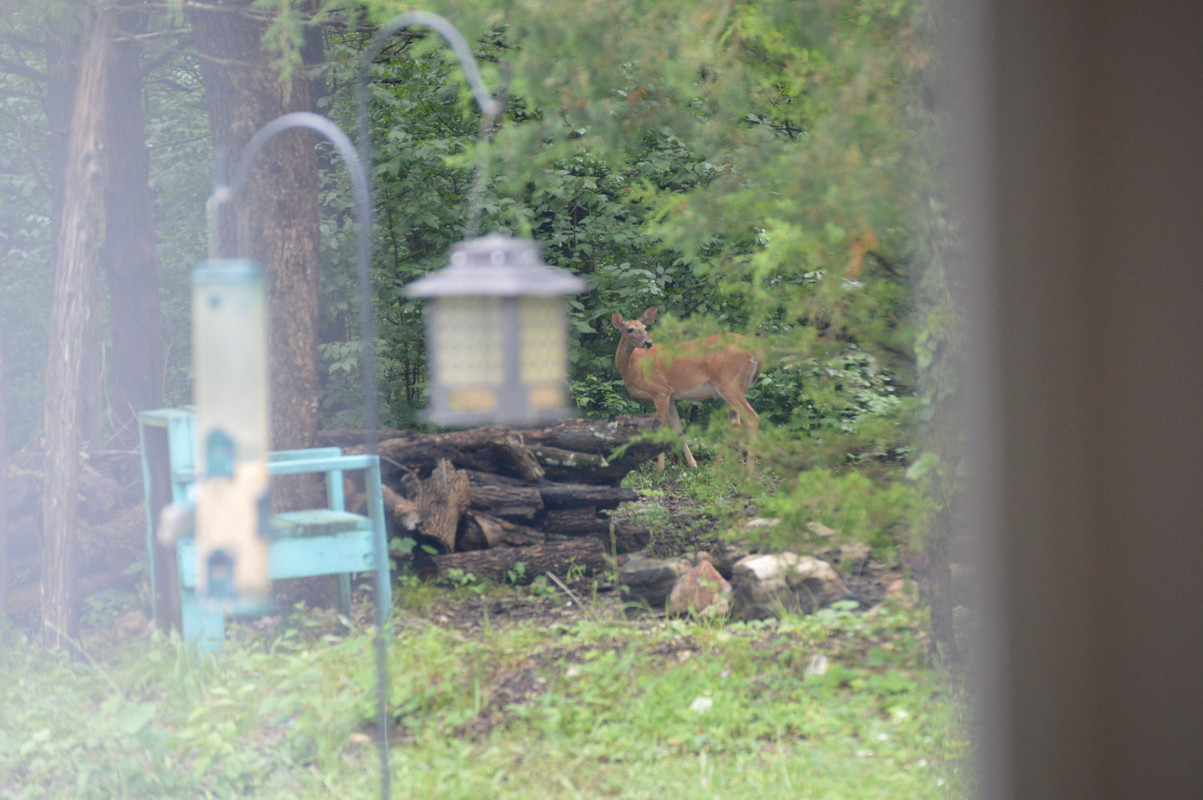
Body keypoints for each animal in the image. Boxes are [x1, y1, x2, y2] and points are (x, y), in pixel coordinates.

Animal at [611, 307, 761, 472]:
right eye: (630, 329)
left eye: (645, 328)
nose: (648, 343)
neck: (631, 366)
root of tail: (755, 351)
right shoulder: (671, 396)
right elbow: (678, 429)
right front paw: (693, 464)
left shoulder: (660, 391)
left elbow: (662, 428)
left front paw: (659, 470)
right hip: (731, 388)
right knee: (735, 423)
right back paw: (726, 466)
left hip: (729, 384)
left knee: (752, 418)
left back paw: (748, 470)